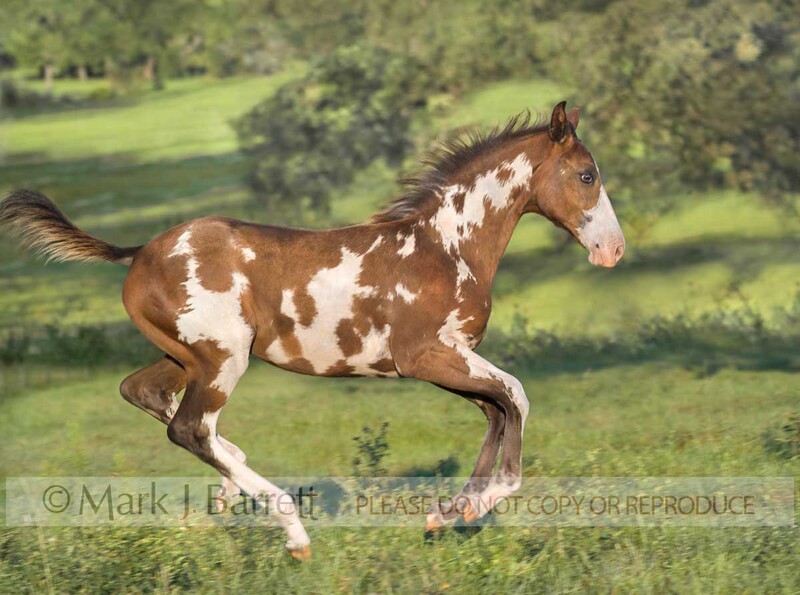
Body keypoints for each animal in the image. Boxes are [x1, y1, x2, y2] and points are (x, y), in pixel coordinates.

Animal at [0, 101, 624, 560]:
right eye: (587, 175)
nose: (613, 250)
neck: (445, 247)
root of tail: (139, 254)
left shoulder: (453, 360)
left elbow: (497, 411)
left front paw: (448, 513)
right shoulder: (426, 356)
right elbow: (515, 396)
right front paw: (474, 505)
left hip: (189, 357)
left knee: (147, 394)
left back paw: (232, 486)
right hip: (224, 359)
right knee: (190, 428)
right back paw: (293, 531)